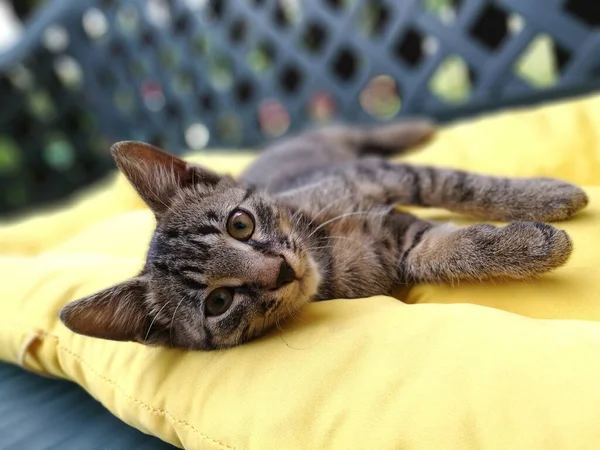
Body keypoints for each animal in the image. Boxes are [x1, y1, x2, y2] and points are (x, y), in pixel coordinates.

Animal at [59, 120, 584, 352]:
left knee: (358, 131)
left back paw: (413, 127)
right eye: (217, 303)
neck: (322, 243)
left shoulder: (376, 177)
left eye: (240, 224)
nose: (280, 270)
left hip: (341, 145)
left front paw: (548, 196)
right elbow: (446, 251)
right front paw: (531, 244)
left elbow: (456, 184)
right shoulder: (398, 244)